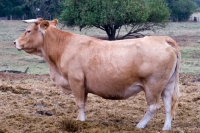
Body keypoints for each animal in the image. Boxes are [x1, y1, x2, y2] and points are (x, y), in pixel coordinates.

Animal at [13, 18, 180, 130]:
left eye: (28, 30)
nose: (15, 42)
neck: (63, 47)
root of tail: (162, 39)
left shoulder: (76, 81)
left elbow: (79, 103)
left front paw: (80, 121)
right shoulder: (84, 85)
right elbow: (83, 102)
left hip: (153, 85)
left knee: (153, 106)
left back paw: (140, 125)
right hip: (167, 85)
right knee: (168, 104)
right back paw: (166, 127)